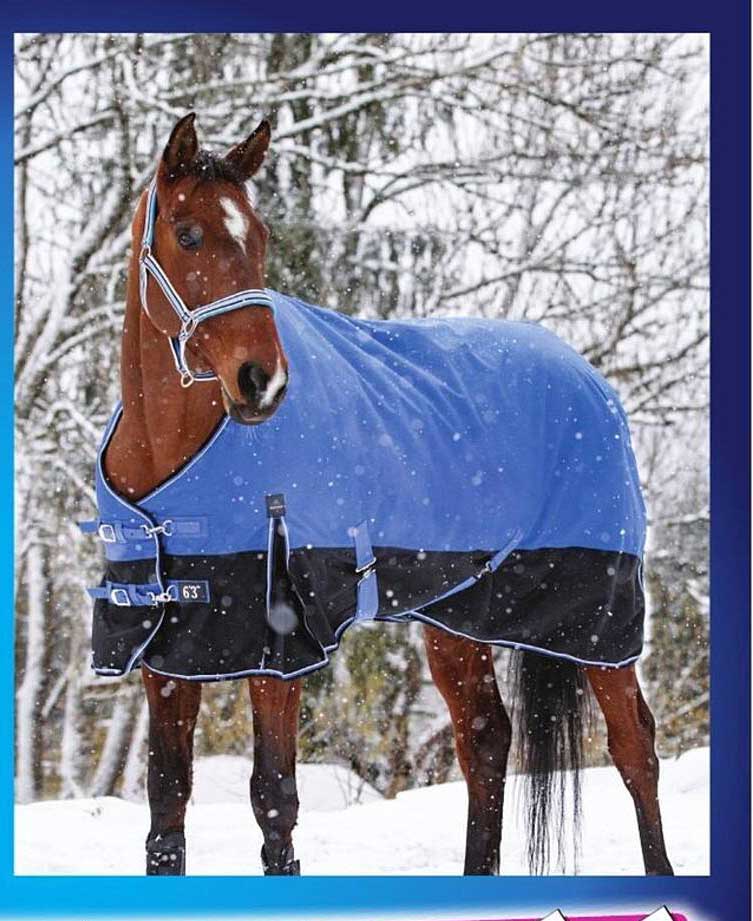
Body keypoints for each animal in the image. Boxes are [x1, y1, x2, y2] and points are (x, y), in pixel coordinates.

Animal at [93, 112, 674, 876]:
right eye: (187, 234)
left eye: (261, 237)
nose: (262, 381)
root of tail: (590, 380)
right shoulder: (167, 651)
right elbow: (167, 807)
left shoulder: (279, 645)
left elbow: (274, 803)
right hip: (458, 618)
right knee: (485, 740)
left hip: (596, 615)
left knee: (634, 746)